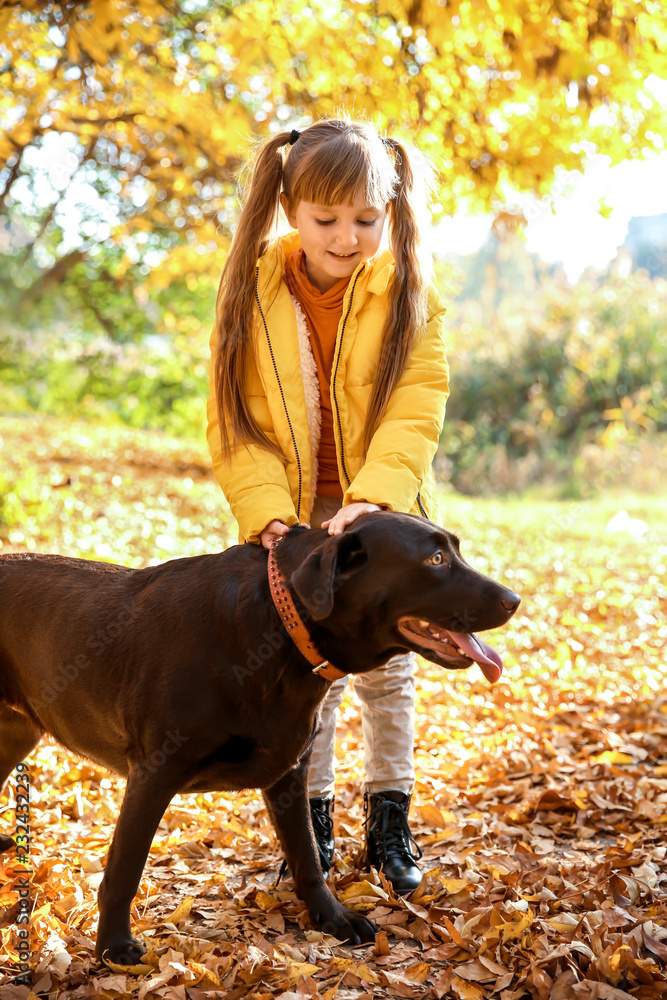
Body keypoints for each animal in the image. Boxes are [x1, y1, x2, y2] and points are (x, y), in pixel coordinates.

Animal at [0, 512, 520, 964]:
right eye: (435, 559)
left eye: (454, 550)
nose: (514, 599)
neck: (279, 628)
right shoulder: (153, 773)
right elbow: (125, 868)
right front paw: (113, 947)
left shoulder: (290, 770)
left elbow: (307, 855)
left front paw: (333, 919)